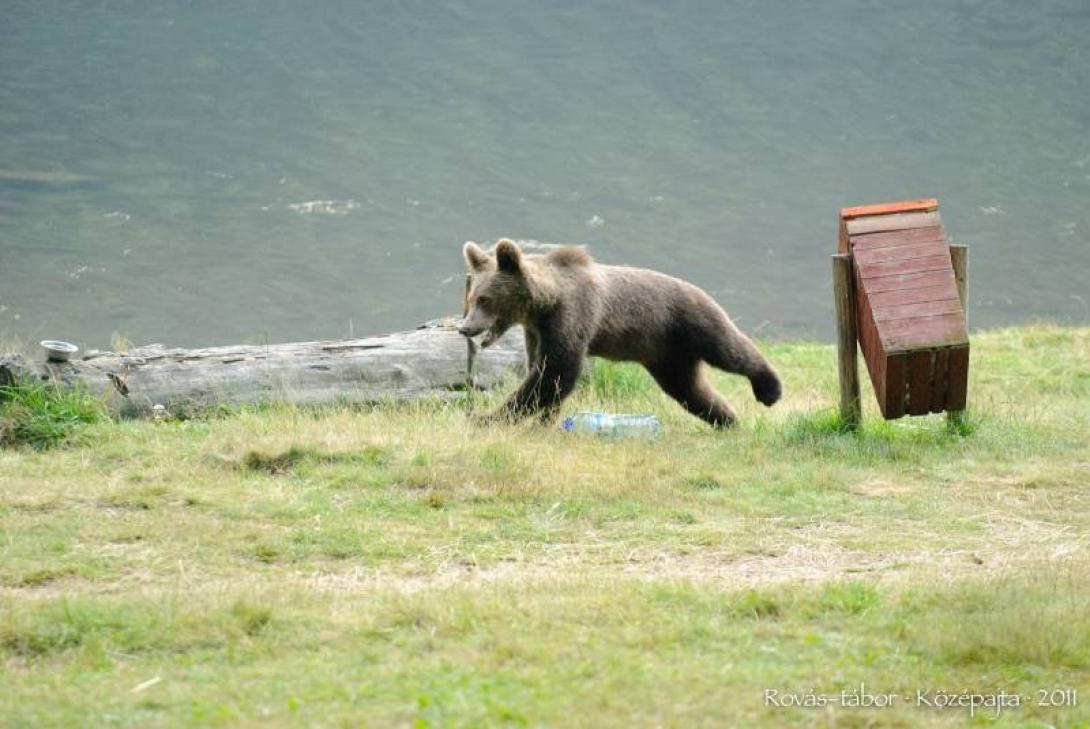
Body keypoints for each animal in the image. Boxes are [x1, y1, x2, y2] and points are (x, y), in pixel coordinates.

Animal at [455, 238, 780, 427]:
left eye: (485, 299)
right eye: (471, 298)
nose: (465, 328)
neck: (545, 303)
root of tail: (701, 289)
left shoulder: (573, 317)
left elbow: (556, 372)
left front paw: (486, 417)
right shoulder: (537, 332)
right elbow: (544, 370)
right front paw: (544, 420)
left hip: (690, 321)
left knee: (729, 350)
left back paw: (769, 389)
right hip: (668, 356)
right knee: (690, 389)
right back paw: (727, 419)